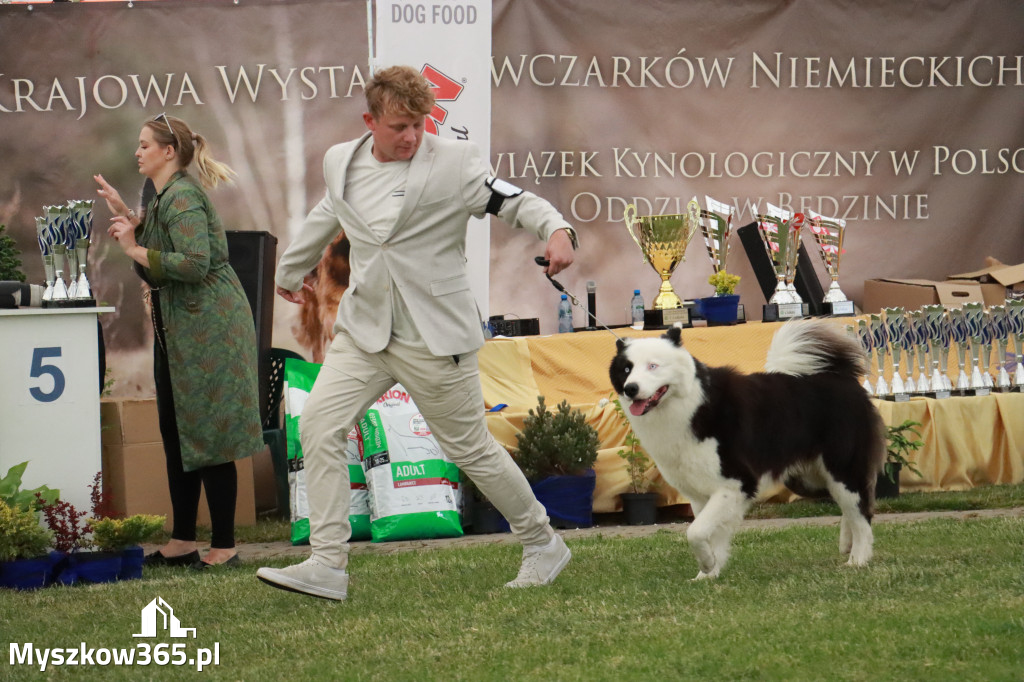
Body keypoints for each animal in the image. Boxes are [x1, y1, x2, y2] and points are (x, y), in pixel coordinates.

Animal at [606, 319, 888, 577]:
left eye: (653, 366)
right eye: (626, 369)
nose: (631, 389)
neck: (691, 404)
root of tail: (841, 376)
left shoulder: (737, 481)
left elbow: (695, 531)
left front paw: (707, 564)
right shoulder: (702, 492)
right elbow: (711, 533)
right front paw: (709, 572)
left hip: (841, 467)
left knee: (861, 510)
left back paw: (858, 559)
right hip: (808, 479)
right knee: (853, 507)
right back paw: (847, 543)